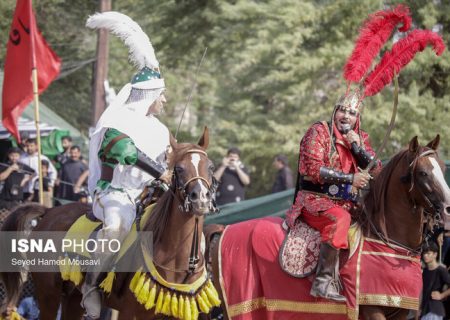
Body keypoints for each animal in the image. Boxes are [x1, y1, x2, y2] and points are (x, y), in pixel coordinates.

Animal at [0, 126, 218, 318]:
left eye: (211, 167)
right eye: (179, 169)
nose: (200, 198)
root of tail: (49, 211)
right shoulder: (130, 313)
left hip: (72, 297)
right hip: (48, 293)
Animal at [210, 135, 450, 320]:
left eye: (442, 168)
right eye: (423, 173)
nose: (448, 208)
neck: (388, 240)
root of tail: (224, 230)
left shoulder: (400, 311)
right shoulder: (371, 309)